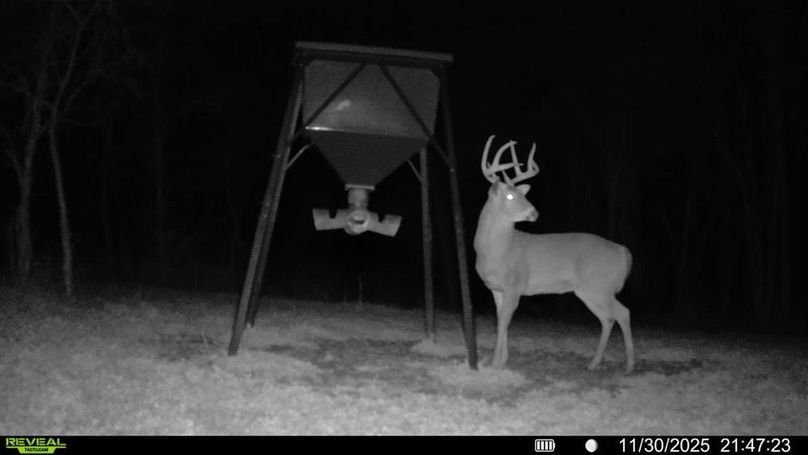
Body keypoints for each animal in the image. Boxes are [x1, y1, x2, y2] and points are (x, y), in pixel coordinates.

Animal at [473, 135, 635, 372]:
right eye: (510, 195)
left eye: (522, 194)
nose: (534, 213)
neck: (498, 250)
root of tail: (622, 251)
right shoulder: (495, 288)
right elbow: (500, 320)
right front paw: (501, 361)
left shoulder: (515, 284)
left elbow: (504, 321)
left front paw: (495, 364)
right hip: (587, 290)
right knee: (607, 318)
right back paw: (593, 363)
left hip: (600, 285)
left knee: (623, 313)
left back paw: (629, 365)